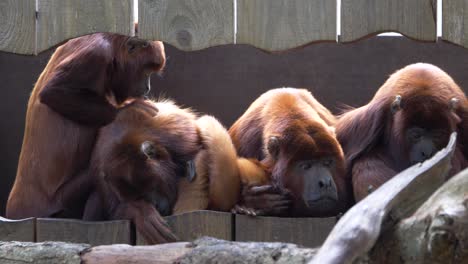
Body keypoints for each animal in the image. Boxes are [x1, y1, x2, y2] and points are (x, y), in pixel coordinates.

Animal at [6, 32, 166, 219]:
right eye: (146, 71)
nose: (147, 87)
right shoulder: (96, 56)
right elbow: (52, 93)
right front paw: (127, 111)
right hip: (62, 205)